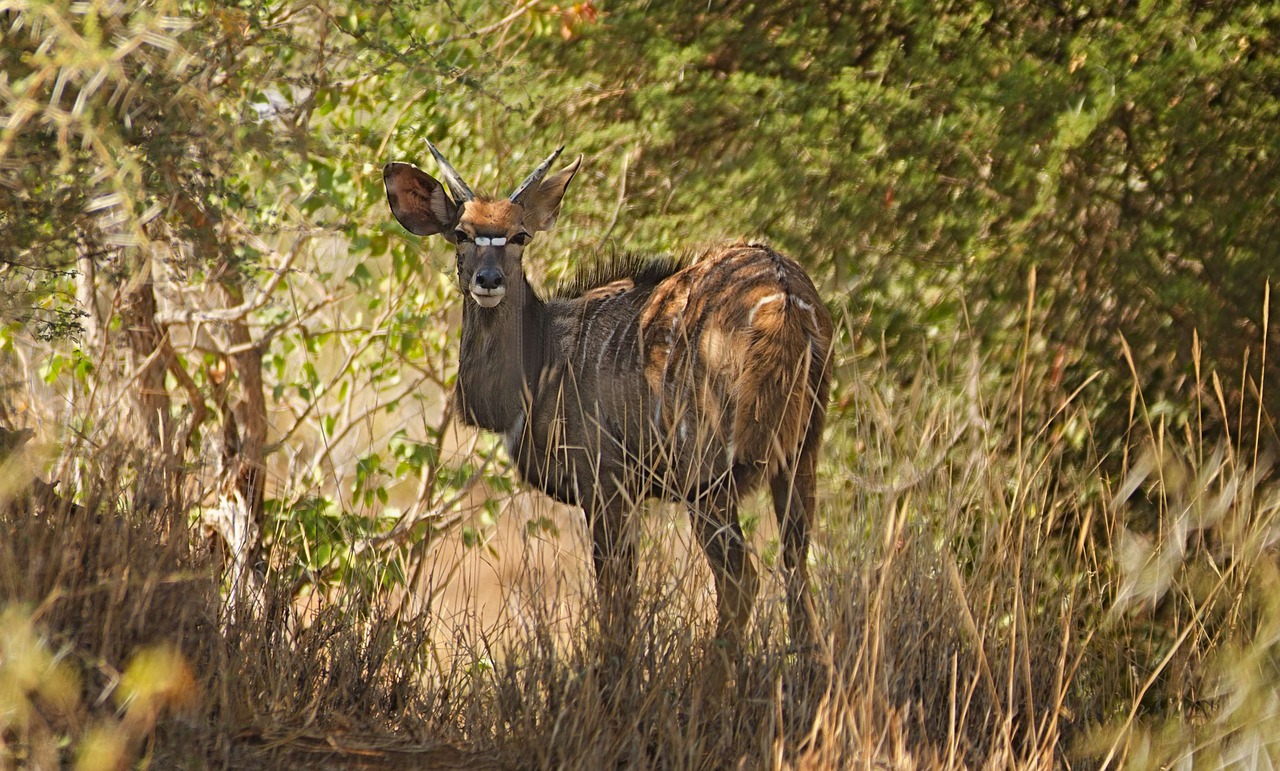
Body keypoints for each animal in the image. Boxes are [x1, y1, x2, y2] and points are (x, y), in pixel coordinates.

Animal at [384, 145, 834, 653]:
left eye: (519, 235)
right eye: (461, 233)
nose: (489, 279)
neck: (542, 358)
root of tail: (784, 295)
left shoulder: (604, 484)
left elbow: (615, 598)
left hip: (706, 477)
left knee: (741, 579)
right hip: (801, 455)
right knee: (795, 566)